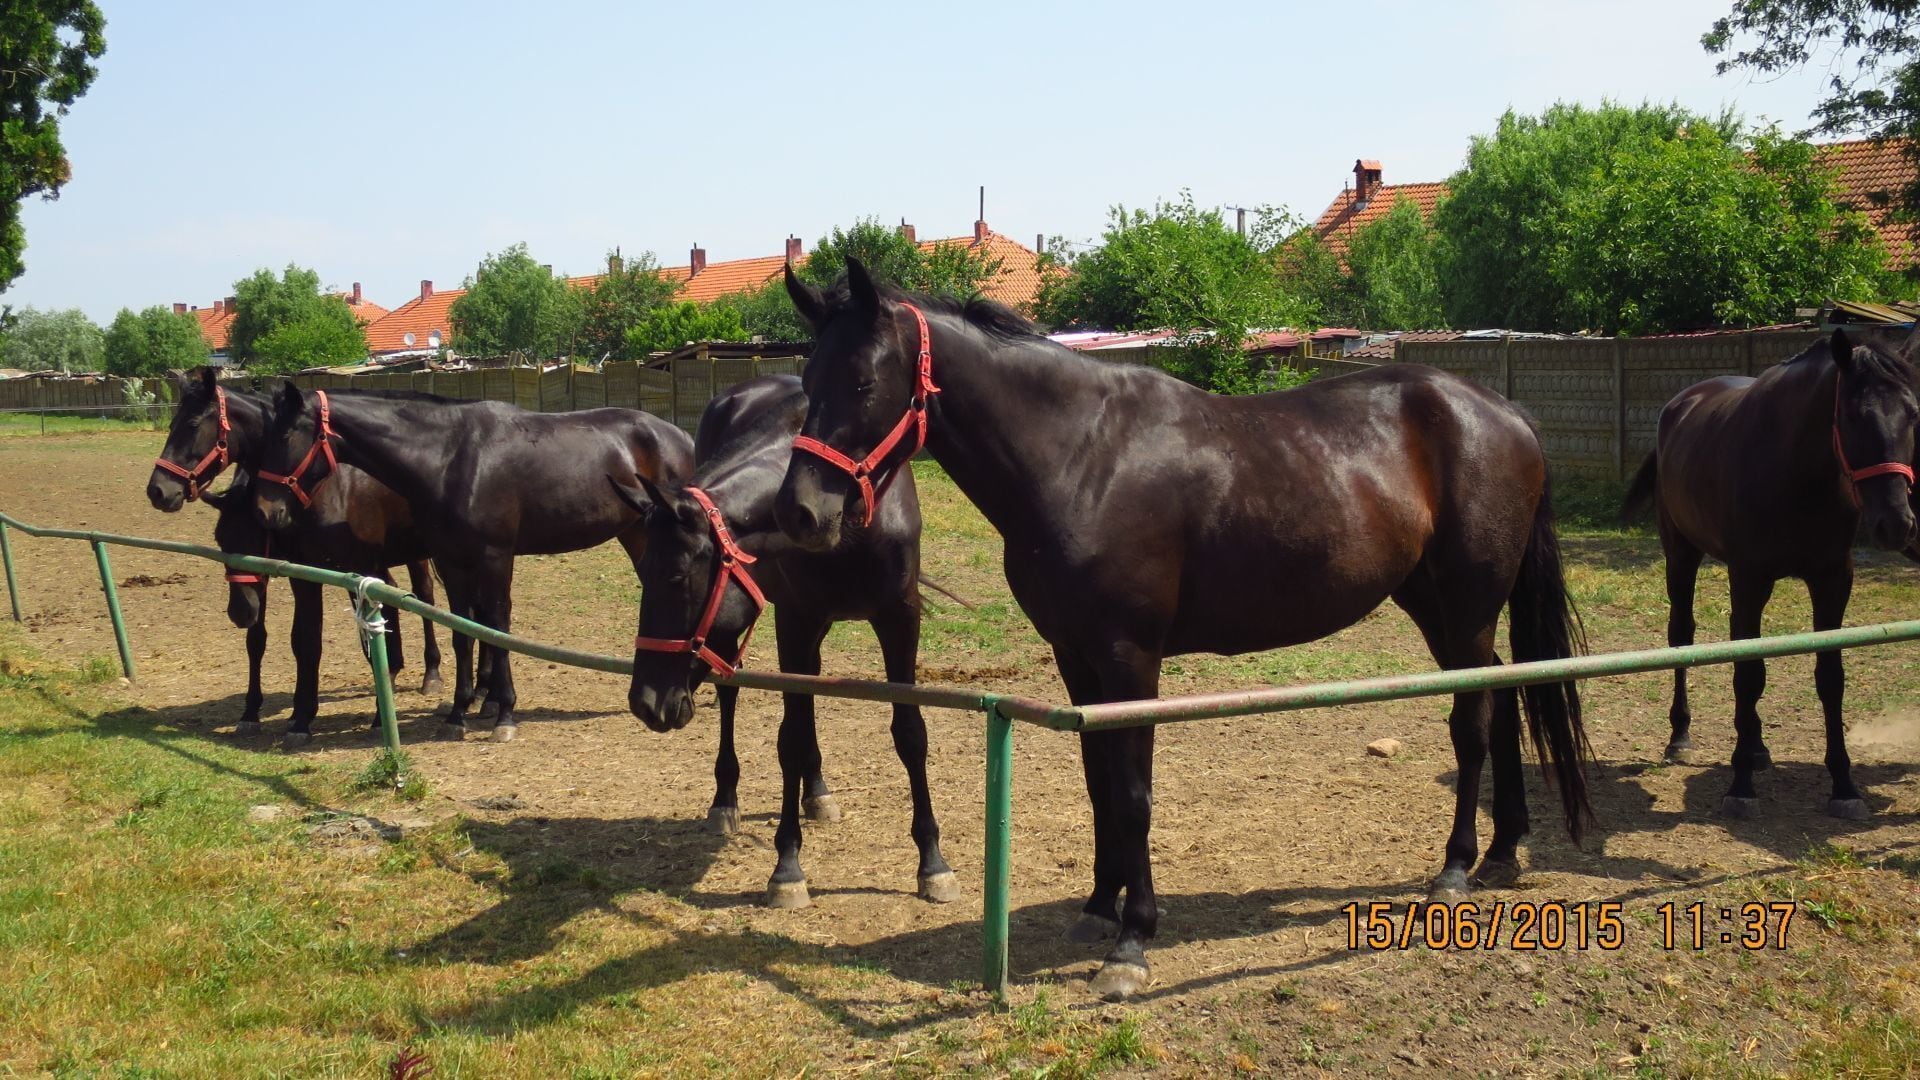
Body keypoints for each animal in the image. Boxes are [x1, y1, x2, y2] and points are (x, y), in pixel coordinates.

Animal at [148, 369, 445, 742]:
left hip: (414, 557)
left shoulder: (359, 569)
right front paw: (298, 717)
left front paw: (377, 714)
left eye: (191, 424)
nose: (158, 490)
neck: (323, 486)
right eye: (220, 540)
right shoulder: (303, 575)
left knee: (424, 598)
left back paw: (431, 674)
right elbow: (302, 642)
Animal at [252, 382, 696, 741]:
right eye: (265, 438)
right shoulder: (452, 562)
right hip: (636, 534)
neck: (450, 459)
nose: (265, 511)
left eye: (287, 435)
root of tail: (678, 435)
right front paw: (458, 712)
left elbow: (496, 627)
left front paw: (505, 715)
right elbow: (463, 632)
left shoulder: (494, 557)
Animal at [613, 373, 957, 909]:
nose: (646, 701)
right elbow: (790, 739)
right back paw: (725, 801)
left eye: (674, 577)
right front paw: (787, 867)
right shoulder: (794, 621)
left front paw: (932, 862)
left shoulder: (900, 620)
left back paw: (816, 792)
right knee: (732, 692)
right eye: (642, 572)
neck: (846, 517)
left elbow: (910, 734)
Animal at [771, 260, 1591, 1001]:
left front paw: (1133, 942)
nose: (801, 513)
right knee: (1505, 703)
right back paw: (1504, 852)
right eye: (807, 381)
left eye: (863, 382)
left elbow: (1134, 792)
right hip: (1438, 608)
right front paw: (1099, 906)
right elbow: (1099, 782)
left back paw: (1455, 869)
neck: (1081, 457)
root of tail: (1504, 413)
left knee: (1472, 725)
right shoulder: (1077, 661)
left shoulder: (1131, 660)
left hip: (1469, 606)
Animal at [1621, 329, 1917, 821]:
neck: (1795, 469)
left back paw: (1757, 747)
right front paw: (1740, 785)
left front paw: (1844, 786)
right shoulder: (1749, 577)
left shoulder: (1832, 580)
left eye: (1913, 413)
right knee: (1683, 634)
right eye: (1854, 415)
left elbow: (1828, 678)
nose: (1896, 525)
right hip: (1681, 554)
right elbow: (1748, 675)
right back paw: (1680, 736)